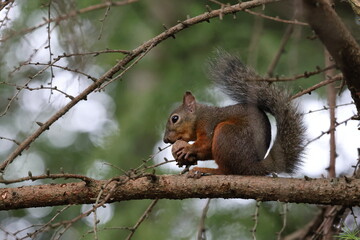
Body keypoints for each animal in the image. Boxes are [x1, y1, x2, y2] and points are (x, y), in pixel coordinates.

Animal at [165, 51, 306, 176]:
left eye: (175, 118)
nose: (165, 140)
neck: (199, 117)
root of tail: (252, 167)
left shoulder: (208, 124)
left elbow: (206, 144)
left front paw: (188, 149)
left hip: (226, 134)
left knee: (228, 171)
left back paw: (209, 170)